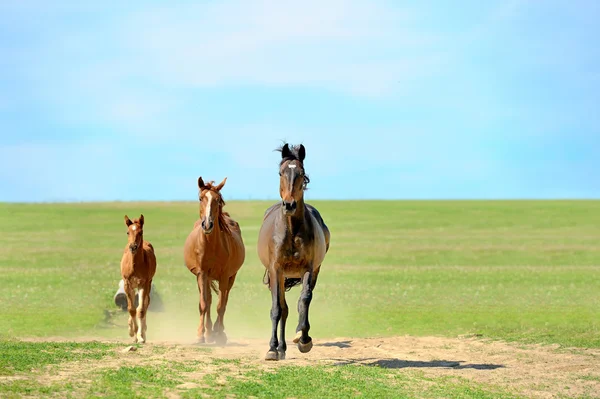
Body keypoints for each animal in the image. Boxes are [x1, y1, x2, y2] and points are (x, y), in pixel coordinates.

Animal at [119, 216, 156, 344]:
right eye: (127, 232)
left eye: (141, 232)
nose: (133, 247)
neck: (134, 265)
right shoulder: (127, 284)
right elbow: (131, 309)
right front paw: (133, 333)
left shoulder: (143, 285)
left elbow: (140, 310)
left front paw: (140, 336)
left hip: (148, 284)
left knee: (145, 304)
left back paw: (143, 330)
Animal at [183, 177, 244, 346]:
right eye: (200, 198)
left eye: (218, 200)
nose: (207, 224)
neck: (211, 245)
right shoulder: (202, 274)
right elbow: (204, 304)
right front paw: (200, 335)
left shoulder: (224, 276)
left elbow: (220, 306)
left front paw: (220, 334)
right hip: (203, 278)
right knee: (208, 300)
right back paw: (208, 333)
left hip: (231, 277)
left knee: (224, 299)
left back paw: (216, 331)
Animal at [258, 145, 332, 362]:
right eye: (281, 173)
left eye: (301, 173)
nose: (289, 205)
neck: (291, 230)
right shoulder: (276, 270)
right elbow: (277, 309)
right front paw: (272, 349)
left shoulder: (308, 268)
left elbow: (304, 299)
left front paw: (304, 338)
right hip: (280, 277)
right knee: (282, 309)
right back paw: (279, 348)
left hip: (313, 271)